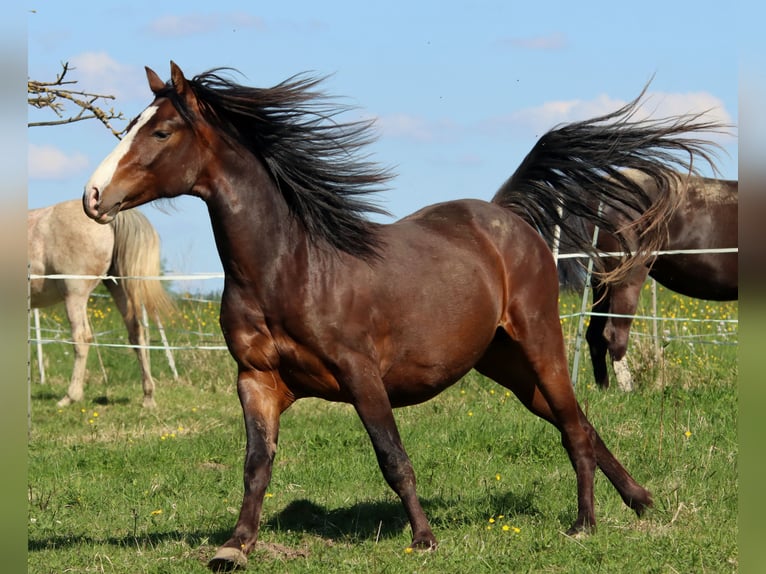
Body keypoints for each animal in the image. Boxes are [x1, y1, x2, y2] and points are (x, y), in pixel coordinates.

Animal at [28, 199, 174, 408]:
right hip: (119, 288)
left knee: (82, 338)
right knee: (137, 334)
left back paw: (70, 396)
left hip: (75, 294)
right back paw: (148, 396)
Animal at [557, 170, 738, 389]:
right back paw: (627, 391)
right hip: (628, 277)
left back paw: (604, 390)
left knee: (595, 335)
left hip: (602, 282)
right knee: (614, 334)